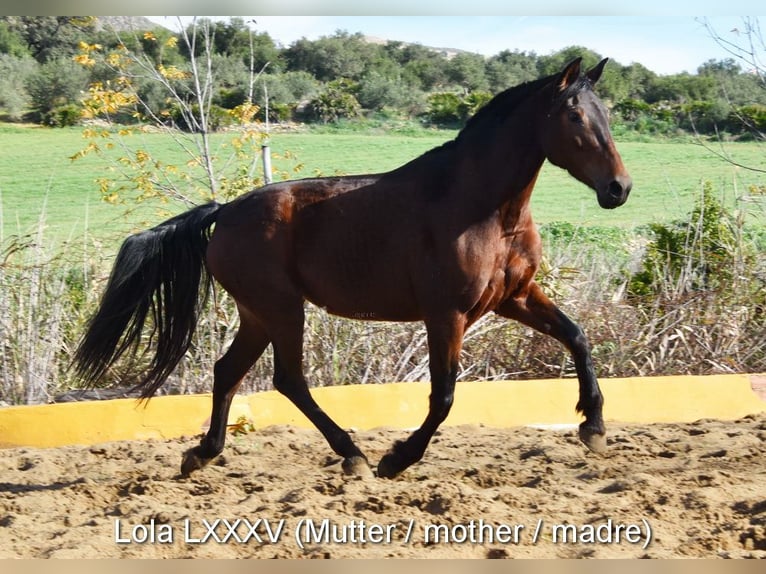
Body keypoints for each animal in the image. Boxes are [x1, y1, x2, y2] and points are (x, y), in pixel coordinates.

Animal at [75, 58, 632, 482]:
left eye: (605, 113)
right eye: (575, 117)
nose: (618, 189)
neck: (484, 210)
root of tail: (224, 211)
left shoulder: (513, 297)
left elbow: (577, 337)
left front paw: (594, 428)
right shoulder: (445, 314)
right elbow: (445, 394)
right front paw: (397, 459)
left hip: (259, 314)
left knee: (228, 372)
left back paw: (201, 455)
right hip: (282, 309)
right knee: (288, 380)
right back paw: (353, 454)